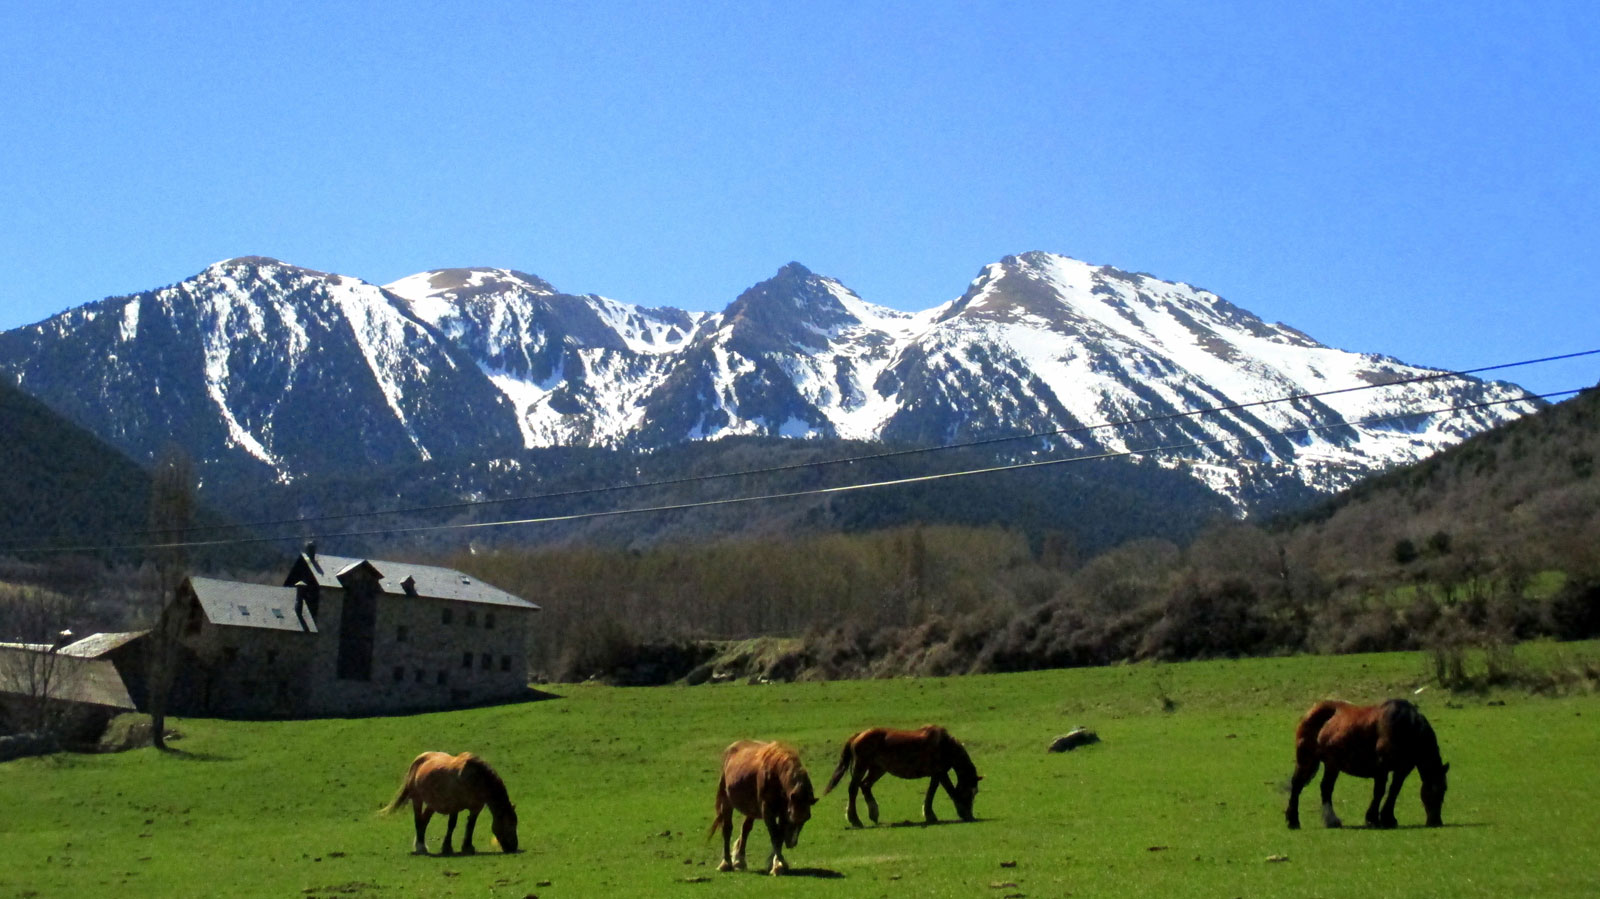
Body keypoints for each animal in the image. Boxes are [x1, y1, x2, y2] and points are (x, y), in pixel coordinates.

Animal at [380, 745, 518, 851]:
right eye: (510, 824)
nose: (513, 847)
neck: (475, 779)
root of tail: (419, 759)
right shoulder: (454, 806)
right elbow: (452, 825)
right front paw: (447, 847)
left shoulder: (476, 808)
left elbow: (471, 825)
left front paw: (467, 847)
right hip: (417, 799)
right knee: (418, 820)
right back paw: (420, 846)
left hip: (432, 804)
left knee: (424, 821)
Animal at [710, 735, 819, 876]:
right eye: (792, 816)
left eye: (807, 818)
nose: (791, 843)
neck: (776, 774)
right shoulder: (768, 811)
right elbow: (775, 835)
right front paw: (778, 865)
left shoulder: (783, 811)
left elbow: (779, 836)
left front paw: (776, 864)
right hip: (726, 802)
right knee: (727, 830)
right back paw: (726, 863)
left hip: (751, 809)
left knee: (745, 829)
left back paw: (739, 861)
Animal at [825, 723, 985, 825]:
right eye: (970, 791)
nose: (970, 815)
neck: (944, 745)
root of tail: (858, 735)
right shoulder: (940, 773)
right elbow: (949, 791)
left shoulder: (936, 774)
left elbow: (931, 792)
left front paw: (929, 815)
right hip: (861, 766)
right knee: (853, 788)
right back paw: (855, 820)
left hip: (877, 769)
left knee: (865, 785)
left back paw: (873, 814)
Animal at [1286, 697, 1452, 831]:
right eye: (1435, 790)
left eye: (1444, 789)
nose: (1436, 821)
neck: (1404, 727)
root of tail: (1312, 711)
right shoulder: (1382, 767)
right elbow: (1379, 791)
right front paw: (1373, 819)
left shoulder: (1402, 769)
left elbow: (1394, 790)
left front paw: (1388, 819)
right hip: (1306, 760)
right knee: (1297, 786)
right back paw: (1293, 821)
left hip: (1332, 764)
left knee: (1326, 788)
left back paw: (1331, 821)